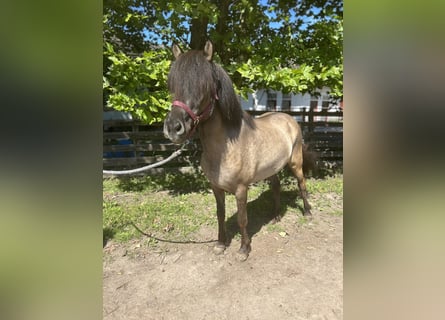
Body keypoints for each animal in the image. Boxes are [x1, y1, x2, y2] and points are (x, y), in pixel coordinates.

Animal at [163, 40, 312, 260]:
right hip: (272, 168)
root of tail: (288, 118)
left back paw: (308, 213)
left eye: (204, 86)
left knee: (302, 184)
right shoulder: (216, 188)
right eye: (173, 86)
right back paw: (276, 216)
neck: (224, 149)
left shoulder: (241, 189)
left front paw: (244, 249)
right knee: (276, 187)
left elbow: (242, 219)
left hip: (295, 163)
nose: (174, 128)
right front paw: (220, 244)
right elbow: (220, 215)